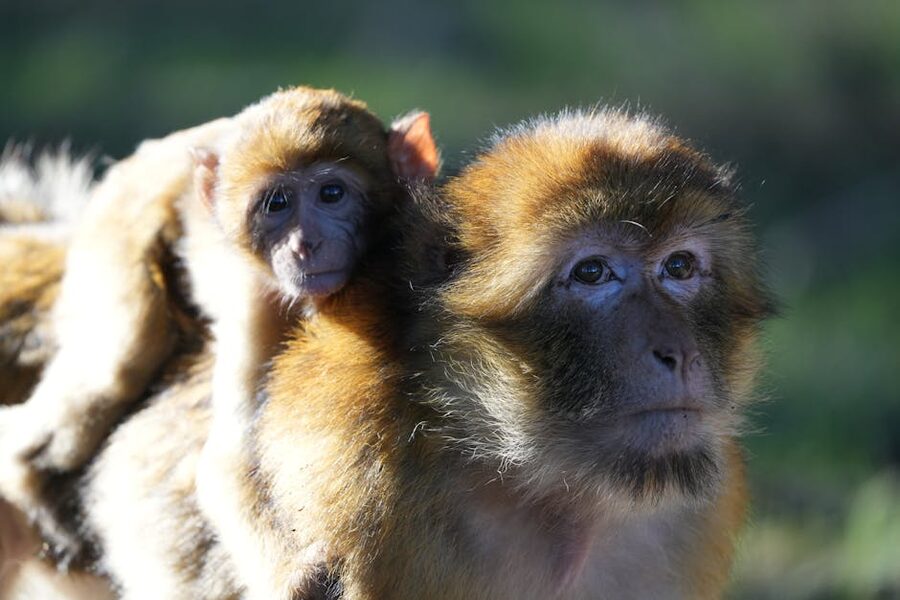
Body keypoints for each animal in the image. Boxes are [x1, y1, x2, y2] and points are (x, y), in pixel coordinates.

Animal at [0, 86, 440, 572]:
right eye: (277, 204)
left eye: (331, 193)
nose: (305, 244)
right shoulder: (258, 301)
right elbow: (230, 456)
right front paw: (298, 579)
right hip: (118, 217)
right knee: (121, 360)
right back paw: (23, 472)